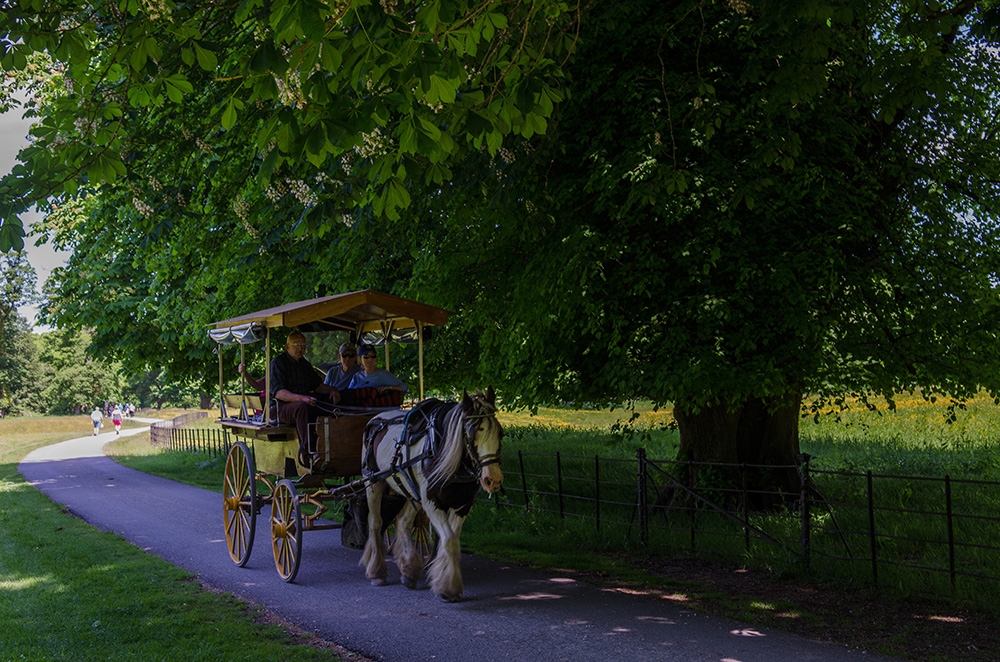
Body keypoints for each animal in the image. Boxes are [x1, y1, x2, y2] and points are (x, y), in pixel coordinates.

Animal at [360, 390, 504, 600]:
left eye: (500, 433)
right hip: (373, 482)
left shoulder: (463, 505)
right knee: (375, 522)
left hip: (410, 490)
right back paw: (377, 571)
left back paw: (409, 571)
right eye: (474, 432)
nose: (492, 480)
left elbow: (450, 541)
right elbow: (449, 540)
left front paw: (442, 577)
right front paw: (448, 587)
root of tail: (376, 418)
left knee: (403, 522)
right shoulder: (432, 502)